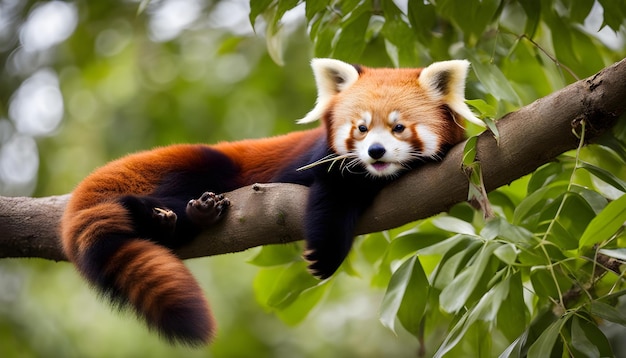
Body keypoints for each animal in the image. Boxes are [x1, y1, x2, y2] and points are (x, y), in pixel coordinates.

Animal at [59, 57, 478, 346]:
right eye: (360, 128)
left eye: (398, 127)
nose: (375, 152)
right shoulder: (321, 163)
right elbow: (331, 198)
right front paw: (326, 253)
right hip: (204, 167)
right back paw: (173, 214)